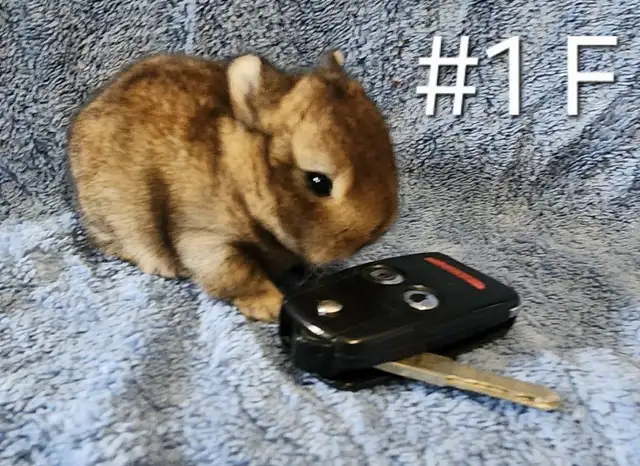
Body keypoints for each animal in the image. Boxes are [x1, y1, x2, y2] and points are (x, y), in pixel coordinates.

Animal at [66, 49, 399, 321]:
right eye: (318, 182)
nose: (375, 232)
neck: (240, 182)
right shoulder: (207, 239)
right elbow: (239, 276)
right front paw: (271, 306)